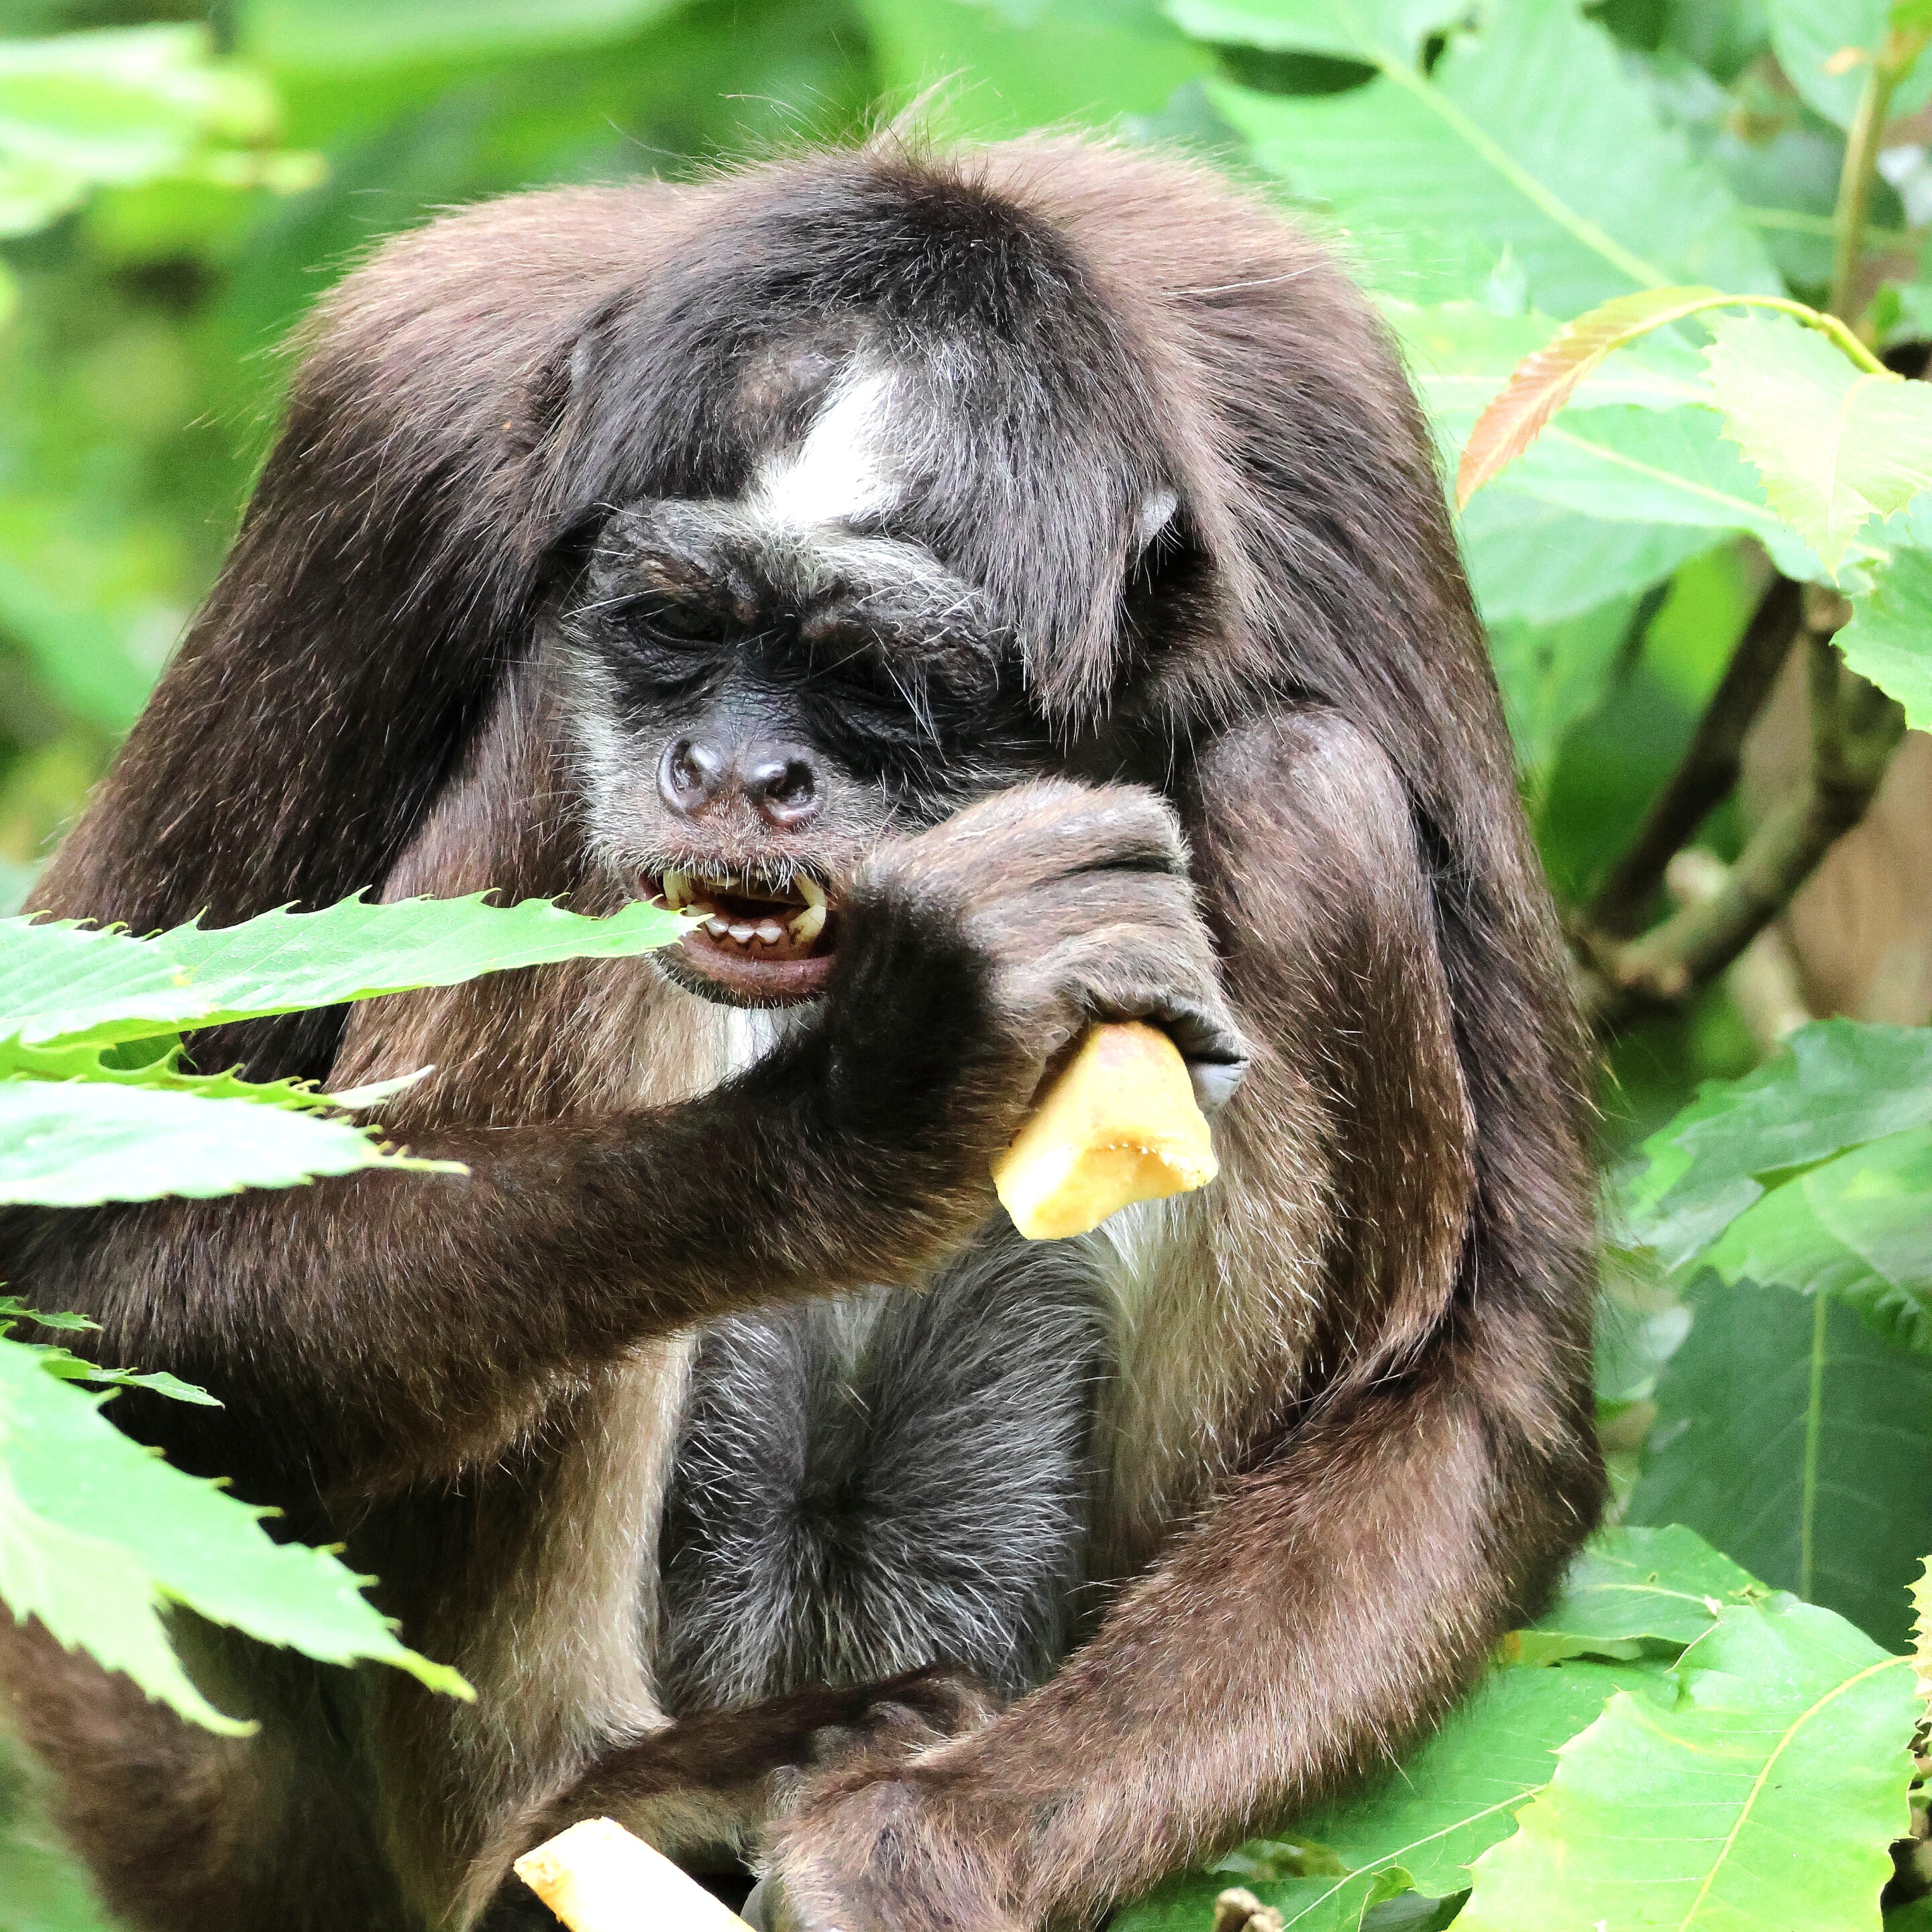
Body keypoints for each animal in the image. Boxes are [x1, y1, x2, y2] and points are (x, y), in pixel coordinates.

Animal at [0, 135, 1603, 1932]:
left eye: (867, 674)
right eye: (676, 626)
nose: (734, 775)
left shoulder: (1321, 425)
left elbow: (1491, 1385)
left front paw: (924, 1851)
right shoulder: (402, 422)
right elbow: (78, 1278)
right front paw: (857, 1122)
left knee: (1300, 786)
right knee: (546, 753)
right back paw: (635, 1795)